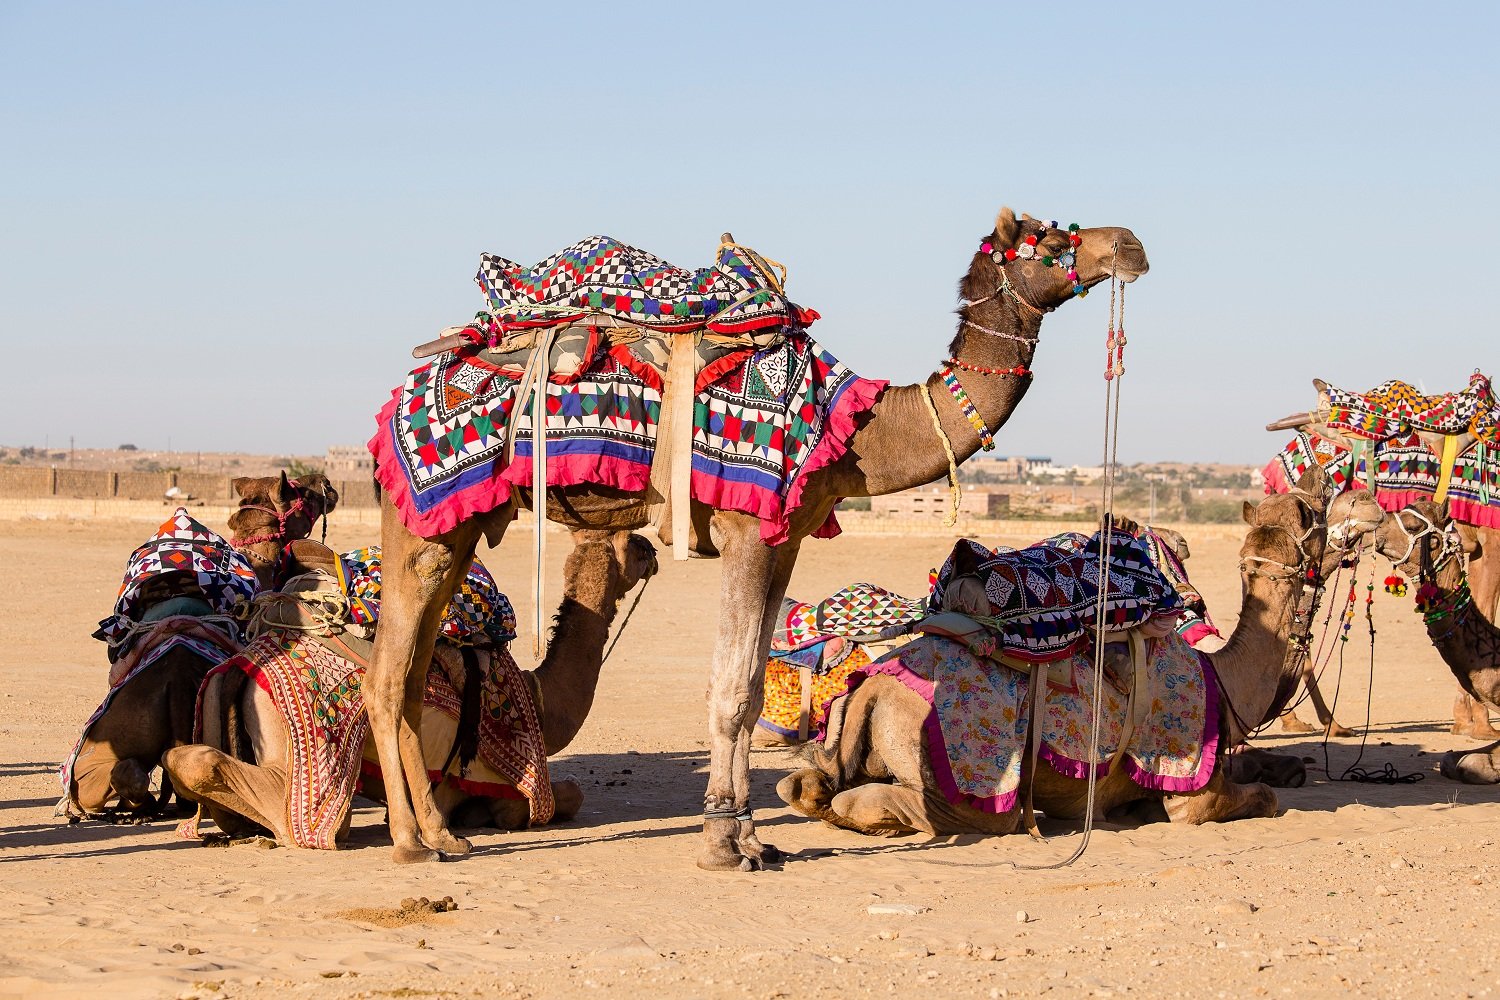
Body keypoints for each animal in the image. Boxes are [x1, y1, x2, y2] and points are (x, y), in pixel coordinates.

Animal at [164, 530, 657, 845]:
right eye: (633, 543)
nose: (653, 549)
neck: (540, 700)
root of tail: (243, 666)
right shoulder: (505, 786)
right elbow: (564, 796)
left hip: (216, 703)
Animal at [360, 205, 1146, 869]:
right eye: (1049, 237)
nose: (1131, 244)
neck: (859, 430)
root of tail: (399, 396)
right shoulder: (748, 532)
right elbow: (733, 690)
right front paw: (720, 843)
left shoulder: (786, 536)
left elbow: (751, 680)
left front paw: (752, 840)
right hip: (420, 521)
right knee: (389, 674)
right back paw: (409, 844)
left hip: (454, 530)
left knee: (415, 669)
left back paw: (443, 835)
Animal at [780, 470, 1374, 839]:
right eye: (1320, 515)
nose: (1364, 506)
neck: (1224, 683)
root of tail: (874, 689)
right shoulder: (1192, 787)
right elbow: (1260, 799)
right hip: (963, 782)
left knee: (804, 786)